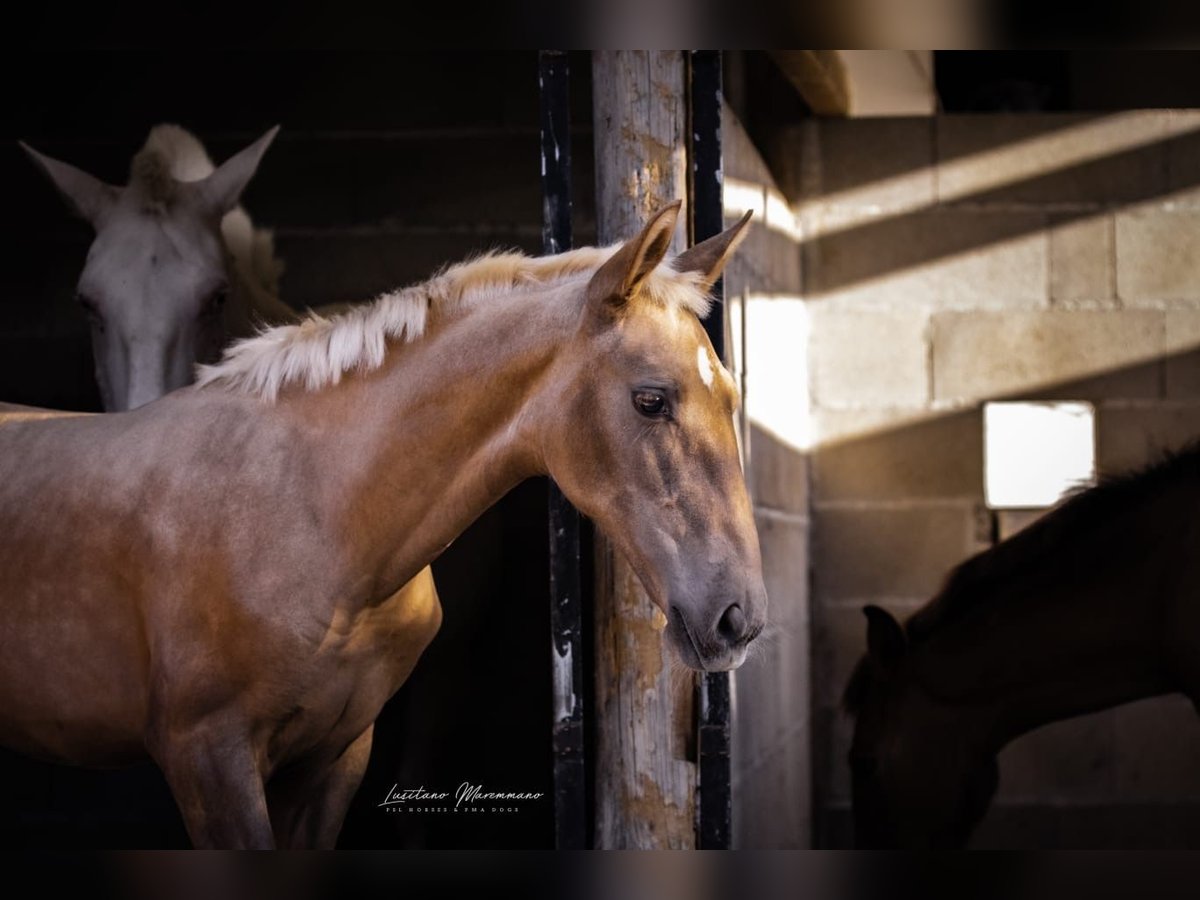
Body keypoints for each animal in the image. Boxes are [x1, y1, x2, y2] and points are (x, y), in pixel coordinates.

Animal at [0, 202, 768, 844]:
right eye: (650, 399)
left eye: (732, 397)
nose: (741, 618)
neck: (317, 514)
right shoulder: (208, 760)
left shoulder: (335, 755)